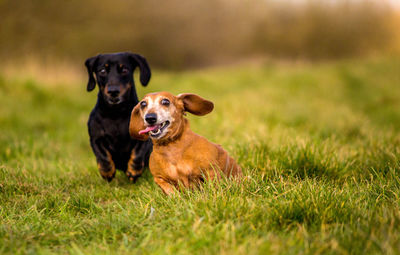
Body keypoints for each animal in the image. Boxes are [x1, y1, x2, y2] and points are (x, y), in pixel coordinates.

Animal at [85, 52, 153, 182]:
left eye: (124, 70)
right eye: (102, 70)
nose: (113, 91)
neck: (116, 114)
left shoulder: (143, 138)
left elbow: (137, 153)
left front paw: (133, 171)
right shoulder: (96, 138)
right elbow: (103, 156)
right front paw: (107, 172)